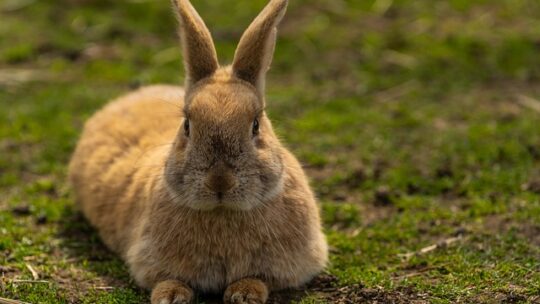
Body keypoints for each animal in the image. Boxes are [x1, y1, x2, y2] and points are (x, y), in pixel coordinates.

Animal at [68, 0, 330, 302]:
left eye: (255, 125)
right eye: (187, 125)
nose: (220, 181)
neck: (222, 212)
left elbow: (260, 278)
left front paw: (244, 294)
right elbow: (167, 279)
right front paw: (170, 296)